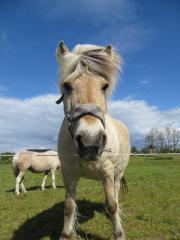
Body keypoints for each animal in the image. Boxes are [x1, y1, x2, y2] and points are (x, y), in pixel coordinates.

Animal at [56, 41, 131, 240]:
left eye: (104, 86)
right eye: (67, 85)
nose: (90, 141)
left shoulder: (107, 171)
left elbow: (112, 205)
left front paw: (119, 233)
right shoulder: (69, 174)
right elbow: (69, 207)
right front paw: (66, 234)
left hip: (117, 173)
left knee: (116, 194)